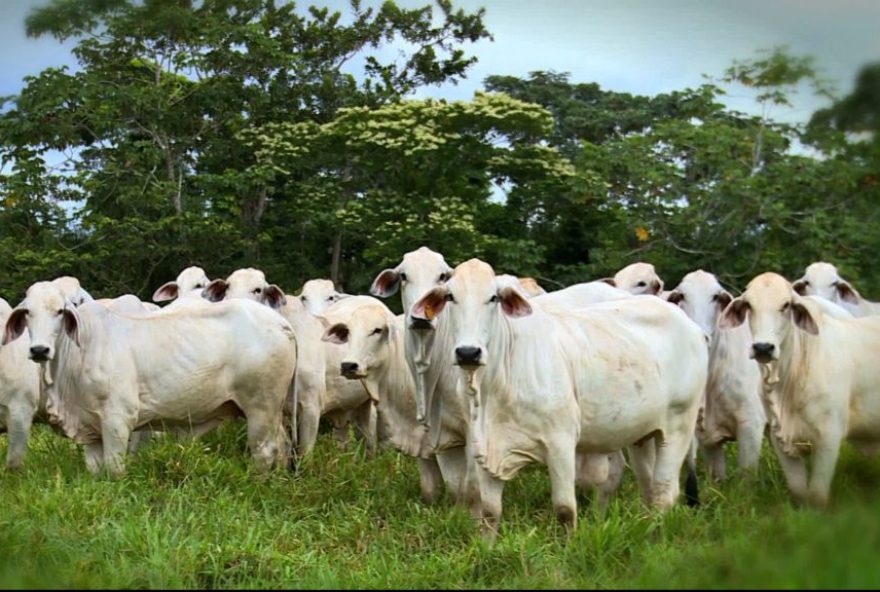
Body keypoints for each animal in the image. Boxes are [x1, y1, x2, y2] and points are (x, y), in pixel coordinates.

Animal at [0, 280, 300, 474]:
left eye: (60, 311)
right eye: (27, 312)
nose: (39, 350)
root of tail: (281, 323)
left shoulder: (118, 420)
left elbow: (115, 470)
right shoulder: (90, 428)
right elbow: (96, 472)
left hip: (260, 407)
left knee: (265, 452)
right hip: (272, 412)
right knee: (283, 446)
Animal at [412, 256, 708, 540]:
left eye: (493, 297)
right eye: (450, 297)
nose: (468, 352)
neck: (495, 384)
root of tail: (693, 328)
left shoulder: (561, 443)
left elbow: (565, 510)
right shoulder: (485, 447)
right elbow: (489, 512)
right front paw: (487, 548)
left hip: (678, 426)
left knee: (664, 492)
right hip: (642, 434)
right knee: (648, 487)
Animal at [720, 270, 880, 506]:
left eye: (786, 305)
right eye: (749, 304)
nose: (763, 347)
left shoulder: (829, 437)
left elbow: (817, 496)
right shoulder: (780, 439)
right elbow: (798, 491)